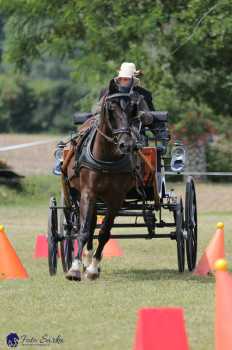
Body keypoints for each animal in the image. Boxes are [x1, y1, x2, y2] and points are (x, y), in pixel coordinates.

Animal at [64, 91, 147, 280]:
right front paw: (75, 268)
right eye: (111, 109)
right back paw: (84, 259)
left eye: (133, 109)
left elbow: (104, 232)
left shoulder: (116, 198)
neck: (107, 157)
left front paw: (93, 269)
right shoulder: (88, 193)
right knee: (87, 224)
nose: (126, 144)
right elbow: (84, 229)